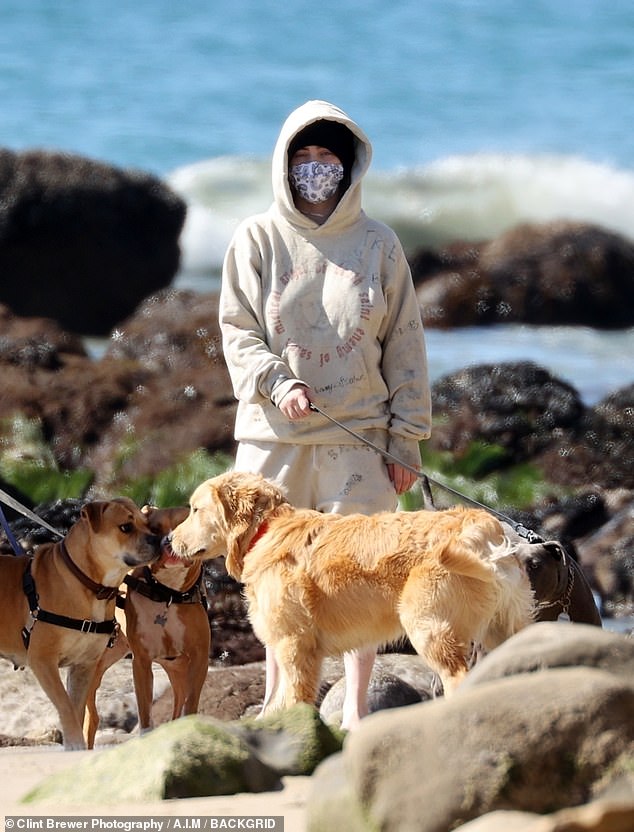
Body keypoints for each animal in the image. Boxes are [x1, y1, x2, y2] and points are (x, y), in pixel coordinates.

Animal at [0, 498, 162, 752]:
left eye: (149, 525)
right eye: (125, 527)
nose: (158, 540)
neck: (91, 586)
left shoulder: (83, 666)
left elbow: (76, 708)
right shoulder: (43, 660)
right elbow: (65, 705)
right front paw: (75, 743)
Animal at [82, 508, 207, 748]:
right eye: (155, 529)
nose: (168, 540)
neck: (167, 594)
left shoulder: (198, 658)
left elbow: (191, 702)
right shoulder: (141, 662)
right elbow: (145, 710)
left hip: (177, 668)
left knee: (179, 700)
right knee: (89, 716)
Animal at [169, 474, 532, 716]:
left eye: (195, 510)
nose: (168, 540)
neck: (267, 530)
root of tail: (482, 525)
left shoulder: (295, 645)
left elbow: (293, 699)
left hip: (430, 629)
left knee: (458, 679)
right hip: (507, 630)